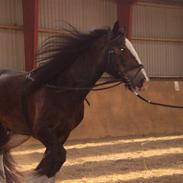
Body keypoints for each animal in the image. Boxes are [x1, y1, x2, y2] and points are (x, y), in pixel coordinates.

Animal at [0, 22, 149, 182]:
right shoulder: (41, 130)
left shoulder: (62, 133)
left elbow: (53, 162)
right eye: (122, 49)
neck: (62, 91)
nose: (142, 80)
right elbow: (57, 158)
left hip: (17, 134)